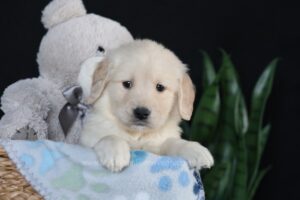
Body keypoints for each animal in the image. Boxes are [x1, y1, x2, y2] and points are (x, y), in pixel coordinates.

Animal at [77, 39, 213, 172]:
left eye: (160, 87)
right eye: (127, 84)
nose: (141, 113)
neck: (137, 135)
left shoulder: (157, 145)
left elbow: (172, 142)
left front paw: (194, 149)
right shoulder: (86, 140)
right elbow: (108, 137)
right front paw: (115, 152)